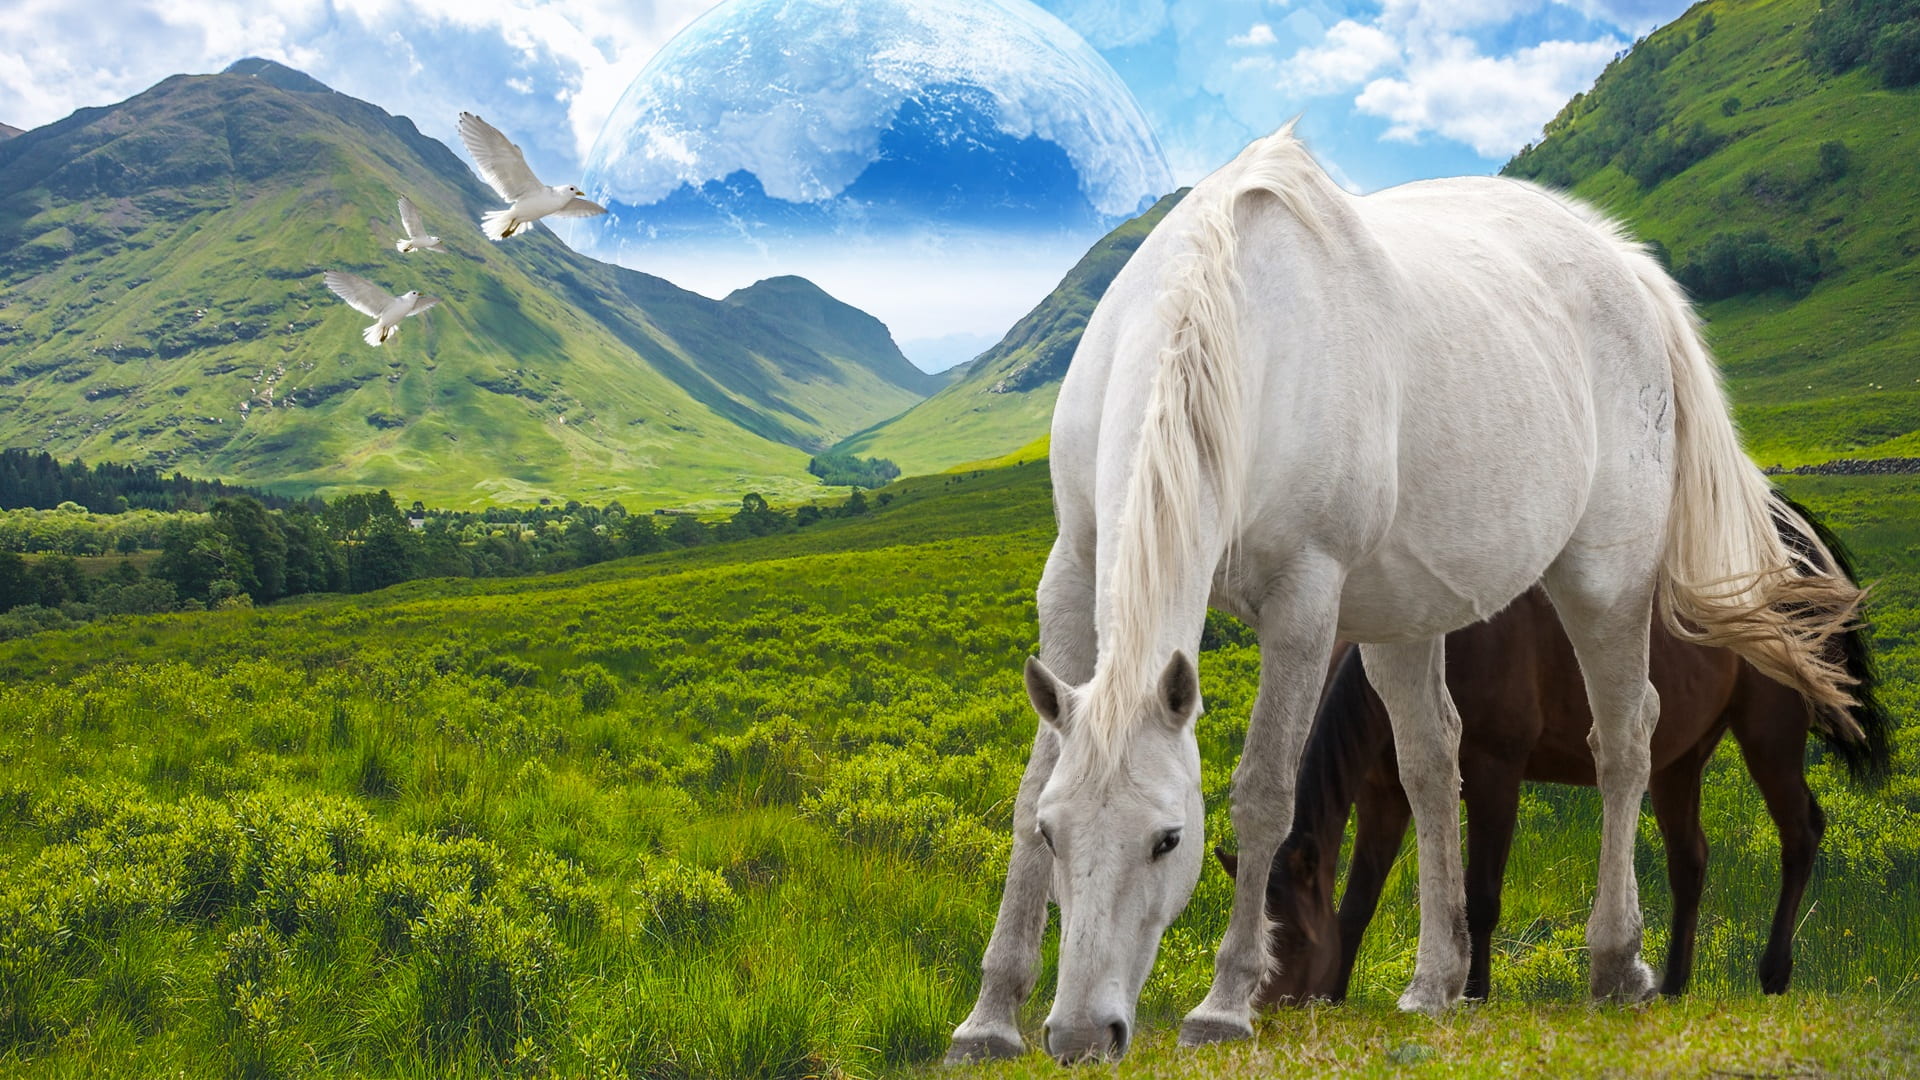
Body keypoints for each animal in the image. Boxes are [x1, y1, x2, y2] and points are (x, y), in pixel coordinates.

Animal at [1213, 527, 1888, 1006]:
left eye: (1292, 936)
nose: (1266, 1006)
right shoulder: (1383, 792)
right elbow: (1358, 899)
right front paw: (1334, 997)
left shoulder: (1495, 773)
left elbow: (1482, 896)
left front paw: (1475, 995)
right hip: (1678, 759)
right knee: (1689, 861)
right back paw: (1673, 985)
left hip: (1769, 733)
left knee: (1801, 831)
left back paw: (1773, 973)